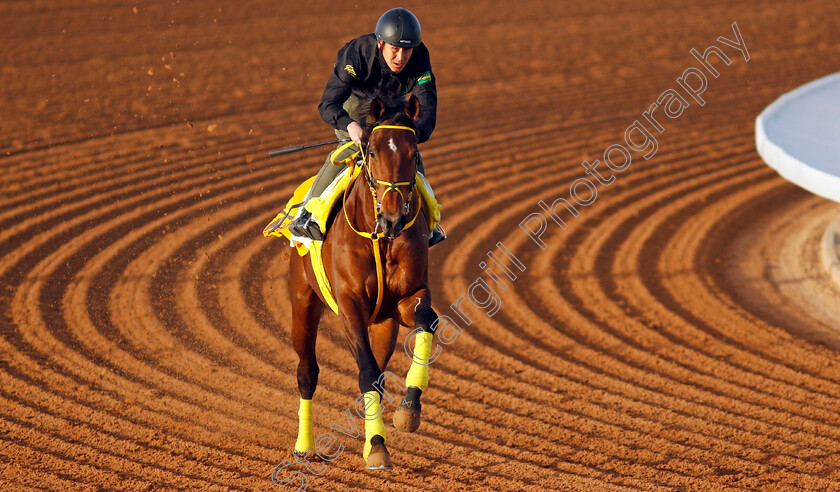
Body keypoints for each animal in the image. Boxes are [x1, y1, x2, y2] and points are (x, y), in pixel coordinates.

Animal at [288, 94, 440, 468]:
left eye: (414, 153)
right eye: (371, 151)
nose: (394, 217)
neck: (380, 236)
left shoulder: (407, 298)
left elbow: (428, 322)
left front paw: (408, 410)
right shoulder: (350, 305)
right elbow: (367, 371)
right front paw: (377, 446)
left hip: (384, 323)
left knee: (382, 368)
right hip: (303, 302)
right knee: (307, 372)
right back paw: (304, 447)